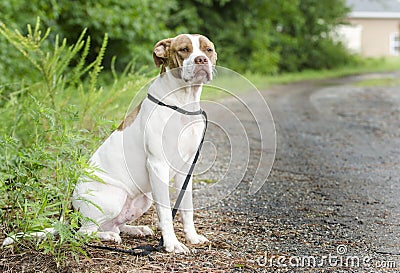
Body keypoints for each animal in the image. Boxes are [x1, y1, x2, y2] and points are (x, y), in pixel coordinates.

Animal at [72, 34, 217, 253]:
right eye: (184, 49)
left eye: (208, 49)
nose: (201, 60)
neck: (183, 103)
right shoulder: (158, 166)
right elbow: (165, 212)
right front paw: (172, 244)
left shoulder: (186, 169)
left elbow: (187, 208)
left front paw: (192, 237)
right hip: (114, 197)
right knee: (84, 232)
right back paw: (108, 236)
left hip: (144, 198)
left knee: (116, 224)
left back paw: (135, 229)